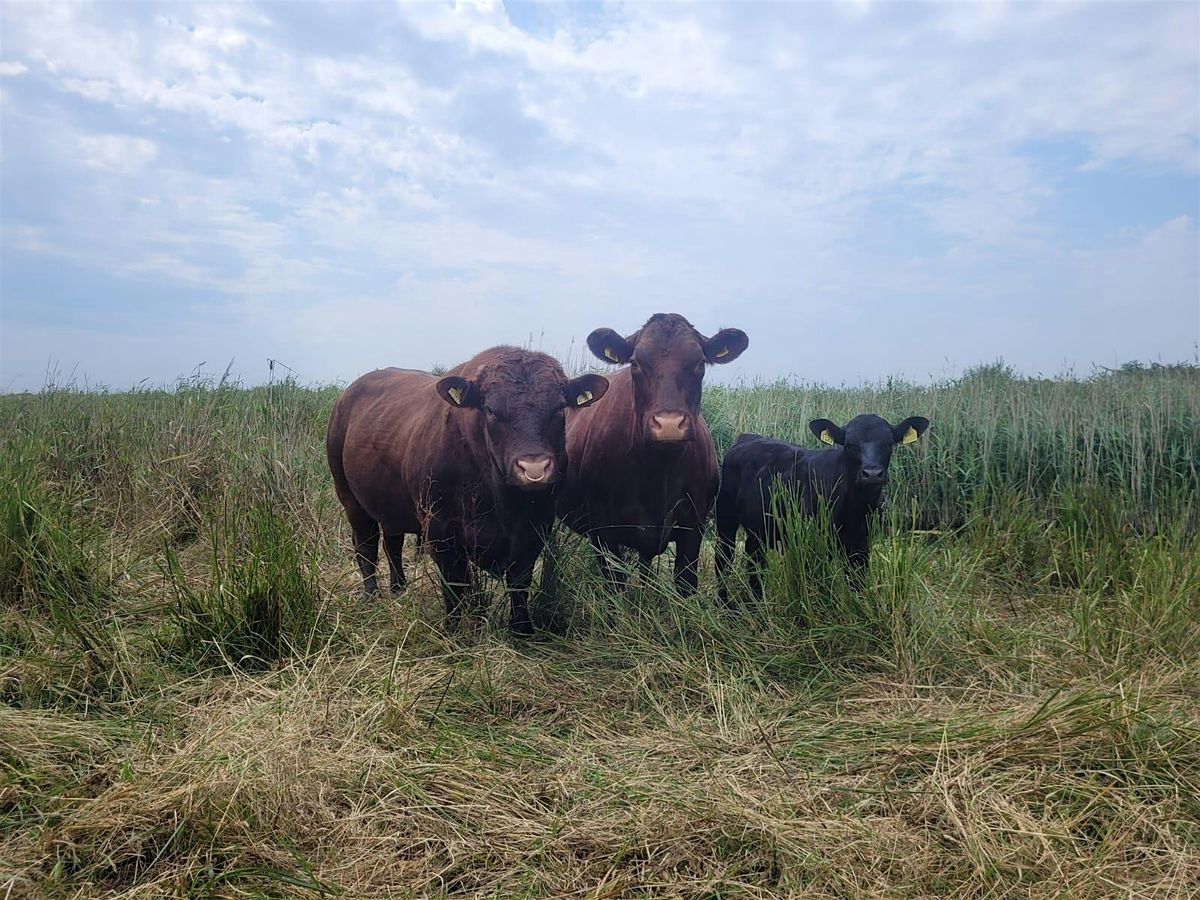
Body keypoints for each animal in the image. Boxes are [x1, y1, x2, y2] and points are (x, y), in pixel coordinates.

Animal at [326, 345, 609, 633]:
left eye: (560, 408)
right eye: (491, 410)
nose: (534, 468)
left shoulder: (535, 529)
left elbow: (519, 584)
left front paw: (522, 630)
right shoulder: (440, 532)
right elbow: (454, 585)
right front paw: (452, 628)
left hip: (389, 504)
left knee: (392, 544)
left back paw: (399, 589)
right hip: (350, 498)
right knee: (366, 547)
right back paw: (372, 595)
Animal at [554, 314, 744, 592]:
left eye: (699, 362)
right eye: (635, 362)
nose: (668, 424)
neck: (659, 473)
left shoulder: (693, 526)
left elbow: (685, 582)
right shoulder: (603, 530)